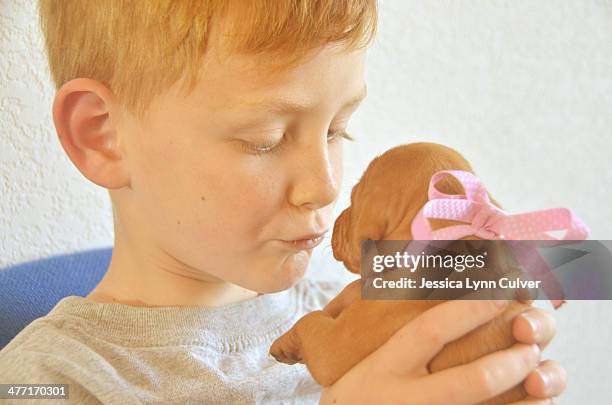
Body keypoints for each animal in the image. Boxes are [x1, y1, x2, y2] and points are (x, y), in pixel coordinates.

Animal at [268, 140, 536, 402]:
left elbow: (311, 320)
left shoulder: (336, 342)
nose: (335, 220)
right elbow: (337, 301)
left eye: (354, 198)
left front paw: (287, 341)